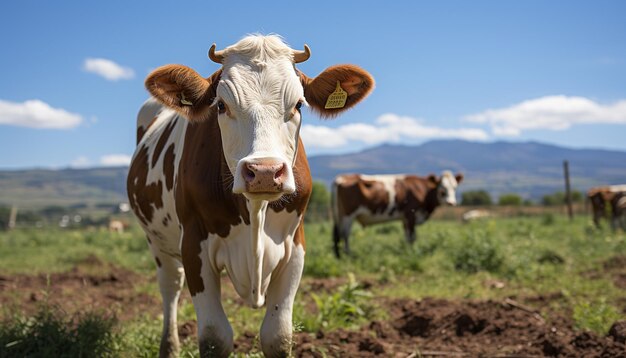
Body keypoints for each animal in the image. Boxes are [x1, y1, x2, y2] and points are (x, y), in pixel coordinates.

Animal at [124, 34, 372, 358]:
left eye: (298, 105)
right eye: (221, 105)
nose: (265, 171)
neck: (255, 213)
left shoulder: (295, 247)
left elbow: (277, 336)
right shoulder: (193, 244)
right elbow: (215, 337)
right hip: (157, 242)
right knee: (170, 287)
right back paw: (169, 347)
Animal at [330, 171, 460, 258]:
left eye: (454, 187)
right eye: (442, 189)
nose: (451, 202)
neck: (423, 190)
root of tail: (341, 178)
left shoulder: (404, 219)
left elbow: (407, 236)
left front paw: (407, 251)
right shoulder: (411, 214)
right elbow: (412, 237)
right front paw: (412, 252)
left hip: (338, 215)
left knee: (336, 235)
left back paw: (338, 256)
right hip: (348, 215)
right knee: (345, 234)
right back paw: (348, 255)